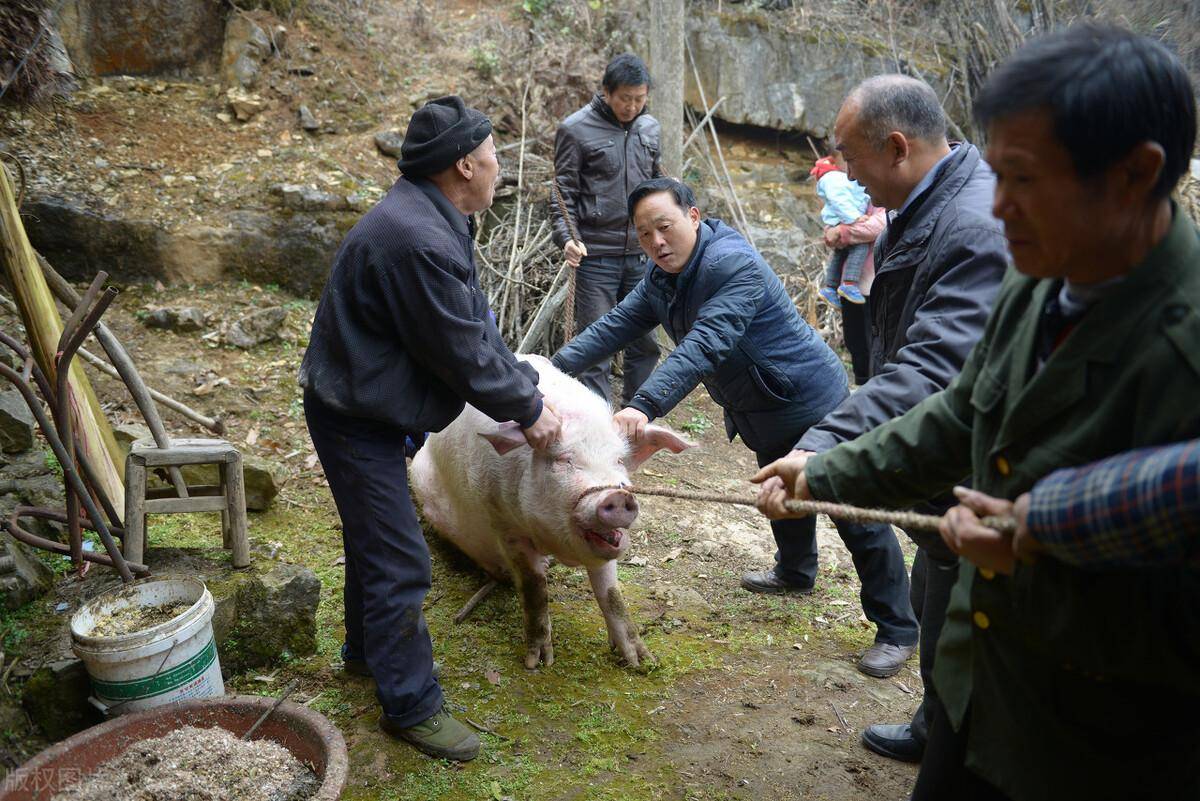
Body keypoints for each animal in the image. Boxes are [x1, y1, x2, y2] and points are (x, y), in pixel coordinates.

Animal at [412, 354, 696, 671]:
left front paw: (643, 662)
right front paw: (537, 663)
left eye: (620, 461)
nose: (618, 495)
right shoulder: (505, 524)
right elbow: (534, 587)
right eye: (564, 460)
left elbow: (612, 595)